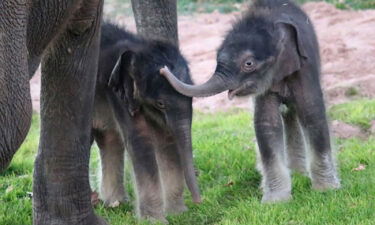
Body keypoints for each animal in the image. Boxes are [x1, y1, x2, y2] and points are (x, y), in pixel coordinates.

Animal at [90, 22, 201, 222]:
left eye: (192, 99)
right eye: (160, 103)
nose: (199, 202)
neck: (137, 48)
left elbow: (165, 139)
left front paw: (178, 214)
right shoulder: (117, 93)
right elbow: (140, 140)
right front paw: (154, 221)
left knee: (109, 138)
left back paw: (115, 203)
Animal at [161, 0, 340, 203]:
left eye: (248, 64)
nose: (163, 69)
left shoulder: (305, 67)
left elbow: (312, 112)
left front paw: (326, 190)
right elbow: (266, 122)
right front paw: (275, 201)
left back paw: (299, 174)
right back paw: (293, 174)